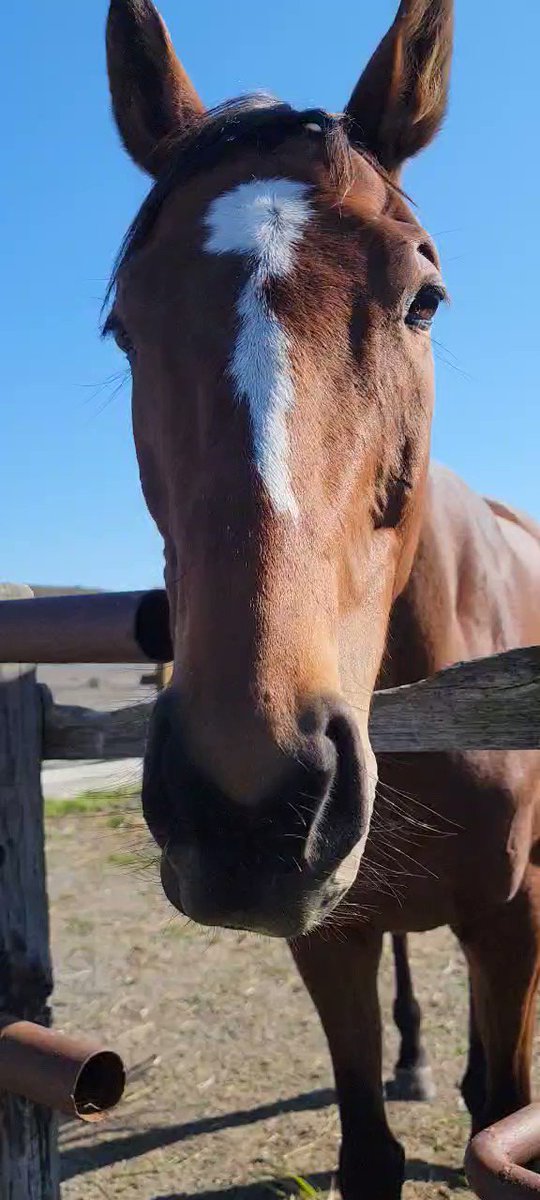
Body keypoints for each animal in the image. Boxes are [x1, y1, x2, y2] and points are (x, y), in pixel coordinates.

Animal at [103, 1, 540, 1196]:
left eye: (424, 299)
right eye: (125, 325)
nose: (247, 801)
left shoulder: (513, 922)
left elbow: (504, 1109)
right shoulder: (324, 937)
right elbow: (367, 1151)